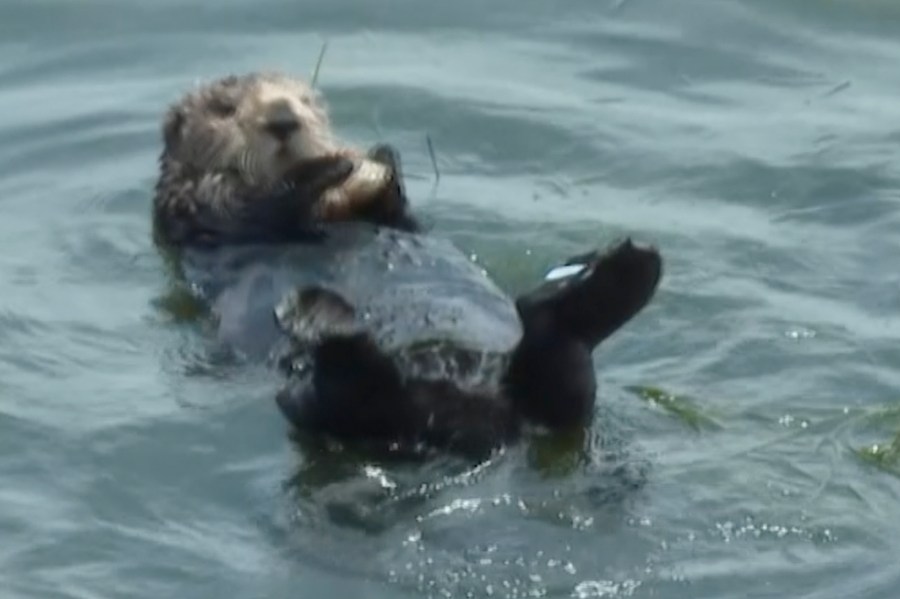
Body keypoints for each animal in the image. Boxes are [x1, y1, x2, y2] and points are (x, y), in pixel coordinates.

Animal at [152, 71, 418, 250]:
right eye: (224, 109)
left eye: (304, 101)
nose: (283, 120)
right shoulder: (199, 206)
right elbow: (259, 213)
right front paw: (333, 165)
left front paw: (383, 155)